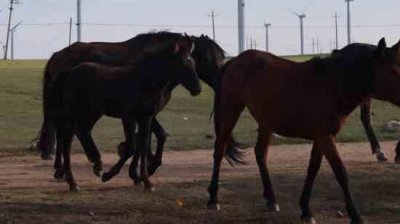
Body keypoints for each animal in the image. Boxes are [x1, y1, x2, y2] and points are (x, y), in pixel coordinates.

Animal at [43, 38, 200, 191]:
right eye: (183, 64)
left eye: (193, 62)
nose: (197, 89)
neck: (144, 80)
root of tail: (69, 72)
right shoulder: (129, 117)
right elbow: (132, 147)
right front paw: (109, 175)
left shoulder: (146, 118)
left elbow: (143, 144)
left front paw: (146, 181)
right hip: (77, 112)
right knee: (66, 139)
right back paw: (72, 180)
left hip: (92, 113)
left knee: (80, 132)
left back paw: (92, 167)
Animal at [208, 37, 400, 223]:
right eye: (393, 71)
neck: (331, 85)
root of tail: (235, 61)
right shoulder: (325, 137)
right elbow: (340, 172)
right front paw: (355, 215)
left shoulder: (322, 137)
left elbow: (313, 169)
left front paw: (306, 210)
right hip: (231, 110)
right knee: (219, 150)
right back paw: (213, 199)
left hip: (266, 122)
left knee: (260, 153)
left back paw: (271, 199)